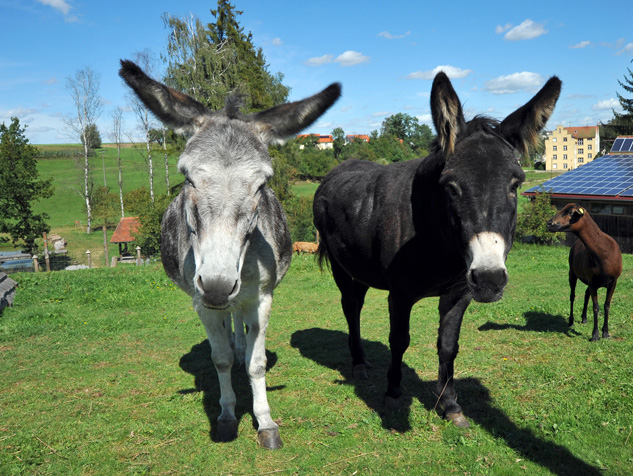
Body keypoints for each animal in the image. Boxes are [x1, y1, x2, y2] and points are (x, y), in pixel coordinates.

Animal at [544, 203, 620, 340]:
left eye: (570, 212)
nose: (549, 223)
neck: (603, 252)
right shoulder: (592, 281)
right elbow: (596, 307)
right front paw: (595, 334)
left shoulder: (613, 281)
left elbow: (606, 306)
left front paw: (605, 332)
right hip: (572, 274)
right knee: (572, 296)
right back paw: (571, 321)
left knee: (586, 294)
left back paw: (584, 318)